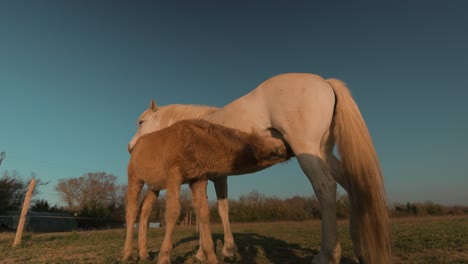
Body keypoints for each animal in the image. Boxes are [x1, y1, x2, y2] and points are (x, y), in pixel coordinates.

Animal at [126, 72, 394, 264]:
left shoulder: (207, 177)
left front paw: (206, 252)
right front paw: (224, 250)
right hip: (324, 153)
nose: (131, 147)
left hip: (308, 152)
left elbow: (207, 211)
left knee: (326, 188)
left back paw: (326, 255)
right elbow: (220, 209)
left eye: (140, 122)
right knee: (354, 187)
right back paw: (360, 248)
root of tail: (325, 83)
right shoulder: (218, 177)